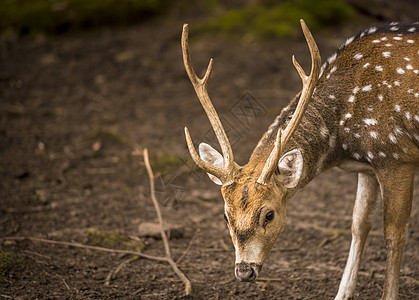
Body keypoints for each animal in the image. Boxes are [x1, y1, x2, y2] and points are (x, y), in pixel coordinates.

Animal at [181, 19, 419, 298]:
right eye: (225, 216)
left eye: (269, 214)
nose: (244, 271)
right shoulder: (367, 167)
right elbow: (359, 225)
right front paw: (341, 294)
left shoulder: (396, 156)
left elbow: (394, 233)